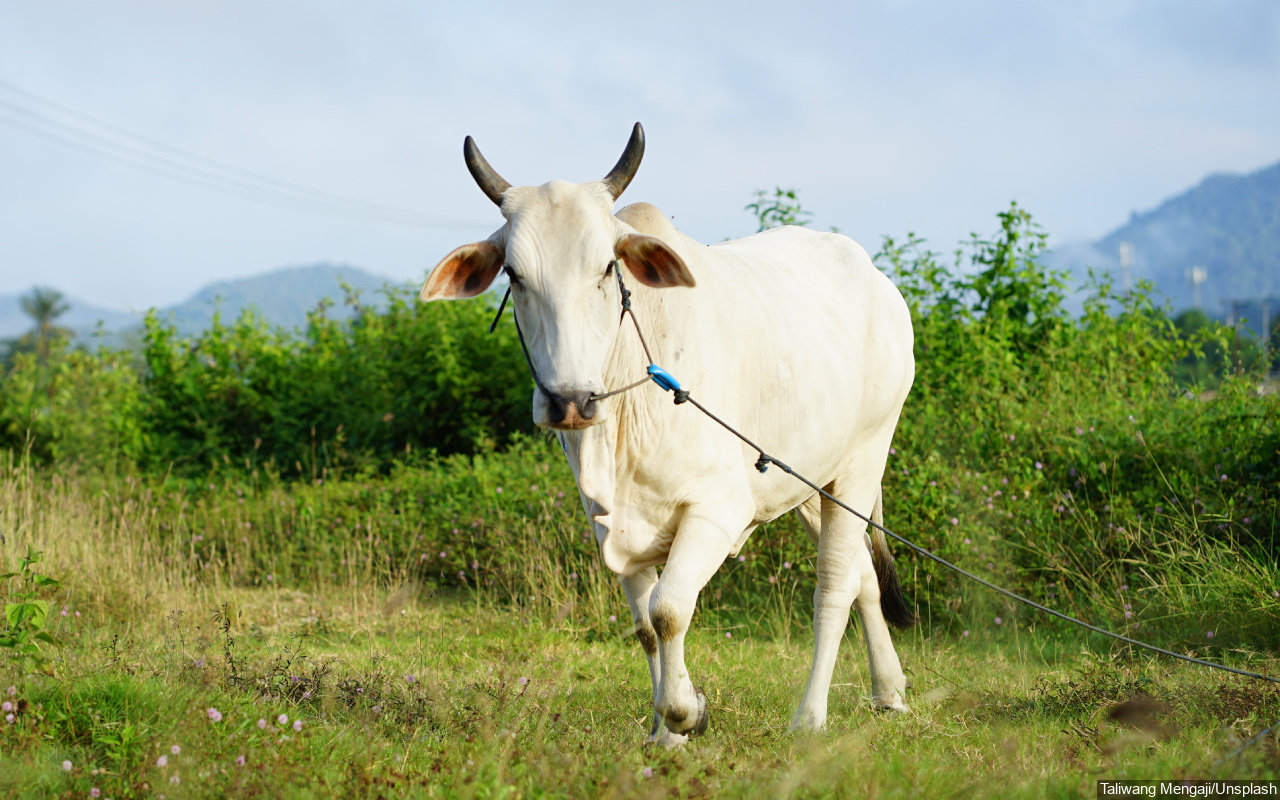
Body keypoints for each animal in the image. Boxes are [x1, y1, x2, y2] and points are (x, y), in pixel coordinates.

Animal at [424, 121, 916, 747]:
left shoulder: (717, 510)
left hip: (863, 462)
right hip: (810, 481)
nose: (570, 402)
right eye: (514, 274)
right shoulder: (608, 524)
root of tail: (877, 281)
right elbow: (645, 627)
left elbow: (669, 610)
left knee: (833, 587)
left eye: (608, 268)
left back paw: (810, 718)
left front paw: (686, 713)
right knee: (863, 580)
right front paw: (665, 733)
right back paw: (890, 692)